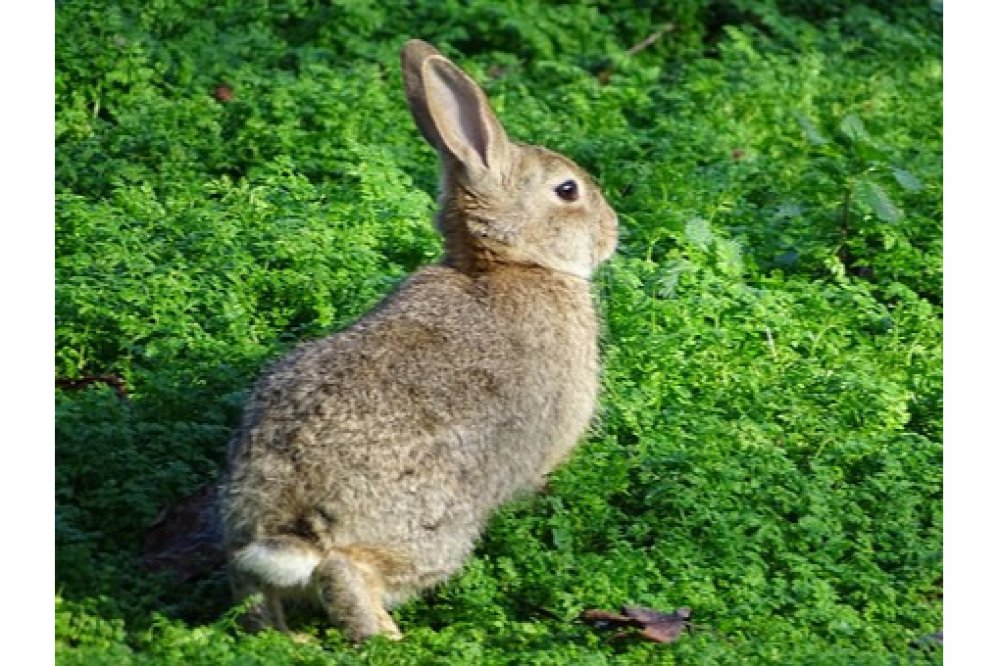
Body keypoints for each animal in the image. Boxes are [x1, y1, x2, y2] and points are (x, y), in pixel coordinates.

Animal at [219, 38, 618, 642]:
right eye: (566, 191)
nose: (613, 230)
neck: (508, 264)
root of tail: (290, 504)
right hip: (430, 533)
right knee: (348, 574)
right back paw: (388, 640)